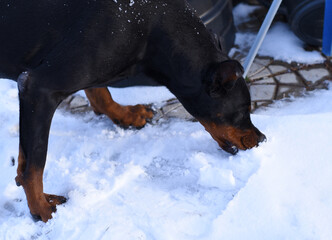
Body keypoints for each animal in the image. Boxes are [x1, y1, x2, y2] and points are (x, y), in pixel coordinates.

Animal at [0, 0, 264, 221]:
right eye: (242, 110)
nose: (262, 138)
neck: (147, 24)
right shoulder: (38, 87)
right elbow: (34, 165)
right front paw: (40, 209)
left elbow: (100, 94)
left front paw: (126, 115)